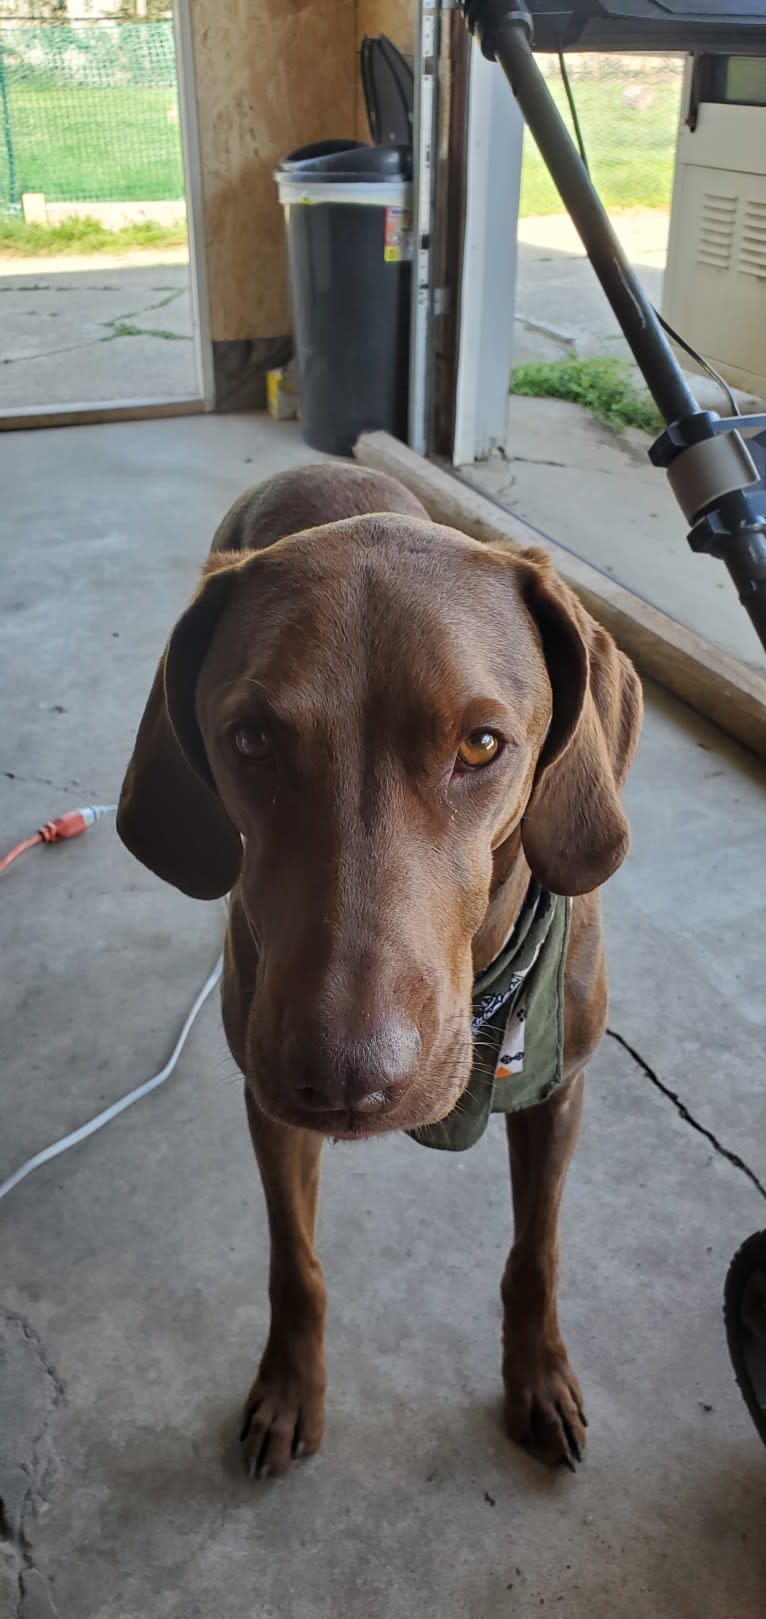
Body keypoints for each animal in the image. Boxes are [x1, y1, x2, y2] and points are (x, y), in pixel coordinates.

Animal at [116, 459, 638, 1483]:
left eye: (482, 744)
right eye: (251, 740)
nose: (347, 1081)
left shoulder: (559, 1090)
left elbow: (538, 1253)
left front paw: (539, 1376)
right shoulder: (271, 1103)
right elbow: (296, 1266)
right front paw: (289, 1388)